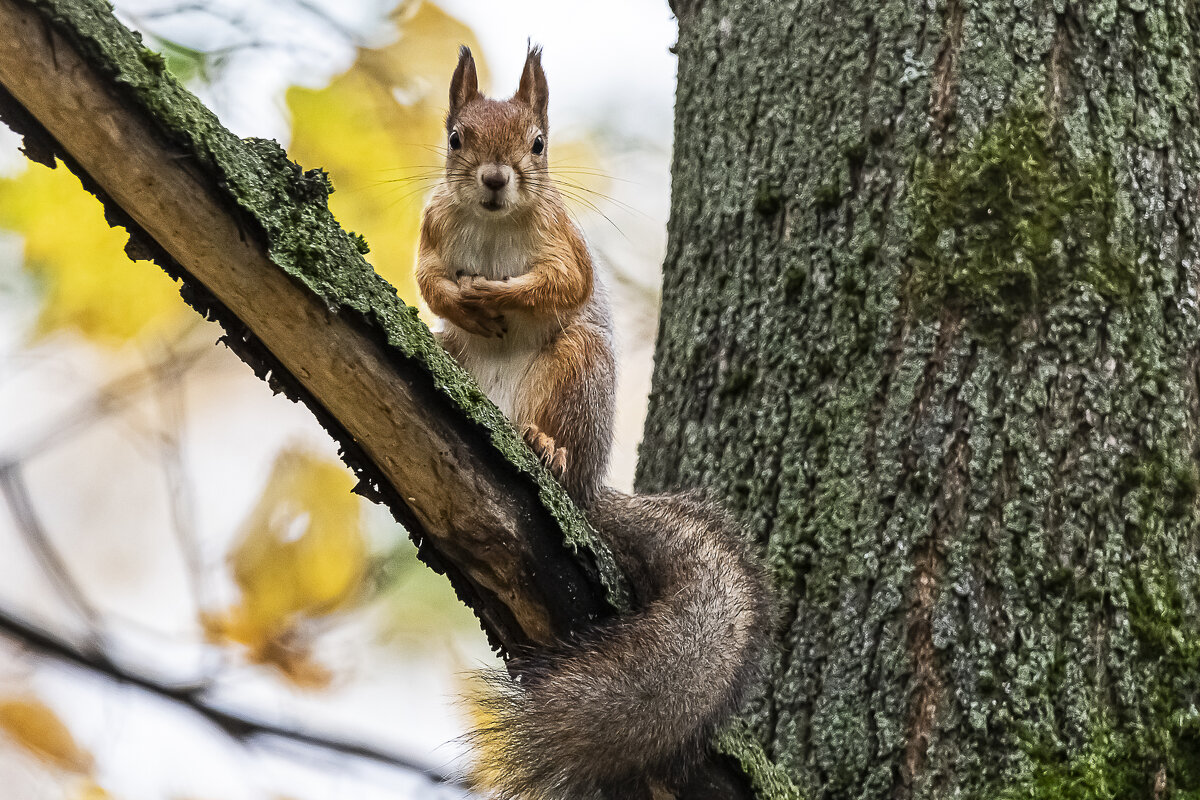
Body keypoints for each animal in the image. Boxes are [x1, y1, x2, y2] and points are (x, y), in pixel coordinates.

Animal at [415, 45, 768, 800]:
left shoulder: (564, 243)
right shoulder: (432, 231)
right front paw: (461, 296)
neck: (494, 225)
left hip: (577, 369)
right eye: (456, 137)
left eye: (538, 144)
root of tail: (590, 484)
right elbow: (428, 278)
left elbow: (563, 283)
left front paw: (503, 292)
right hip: (456, 352)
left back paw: (543, 445)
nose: (494, 180)